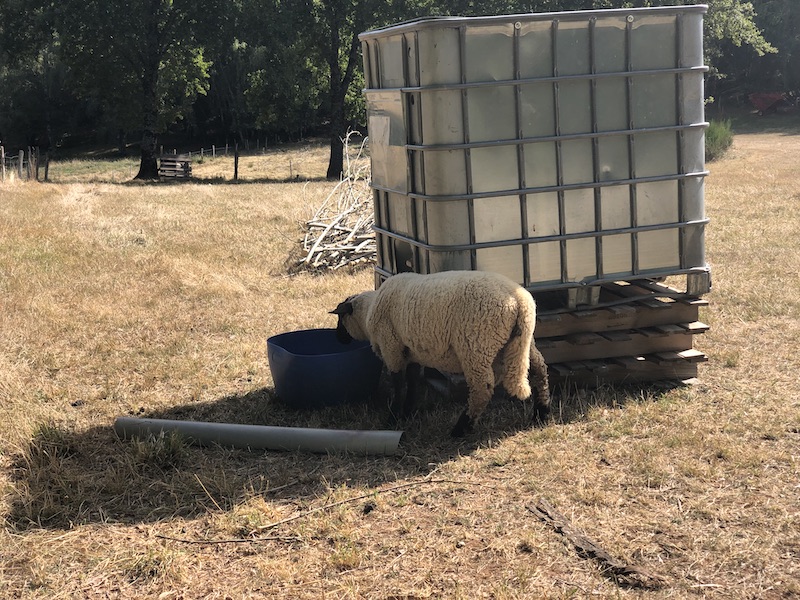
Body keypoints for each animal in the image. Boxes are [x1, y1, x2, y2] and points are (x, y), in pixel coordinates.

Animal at [330, 270, 550, 437]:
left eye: (340, 319)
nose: (338, 338)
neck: (368, 311)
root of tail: (520, 302)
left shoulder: (392, 348)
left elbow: (399, 385)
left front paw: (393, 418)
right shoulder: (412, 353)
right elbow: (412, 383)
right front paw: (408, 412)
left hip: (476, 345)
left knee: (482, 388)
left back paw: (461, 429)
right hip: (522, 343)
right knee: (539, 370)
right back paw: (541, 413)